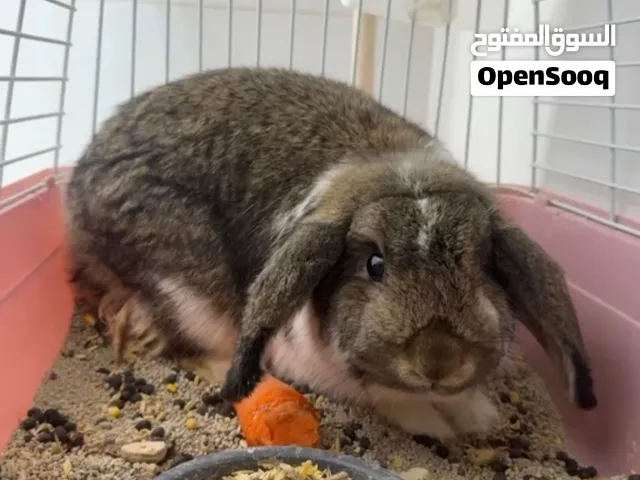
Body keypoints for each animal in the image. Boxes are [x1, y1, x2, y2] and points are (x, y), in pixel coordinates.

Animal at [64, 66, 597, 440]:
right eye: (374, 264)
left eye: (483, 264)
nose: (437, 362)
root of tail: (76, 192)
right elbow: (382, 393)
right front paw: (431, 423)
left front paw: (476, 415)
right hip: (187, 290)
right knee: (189, 341)